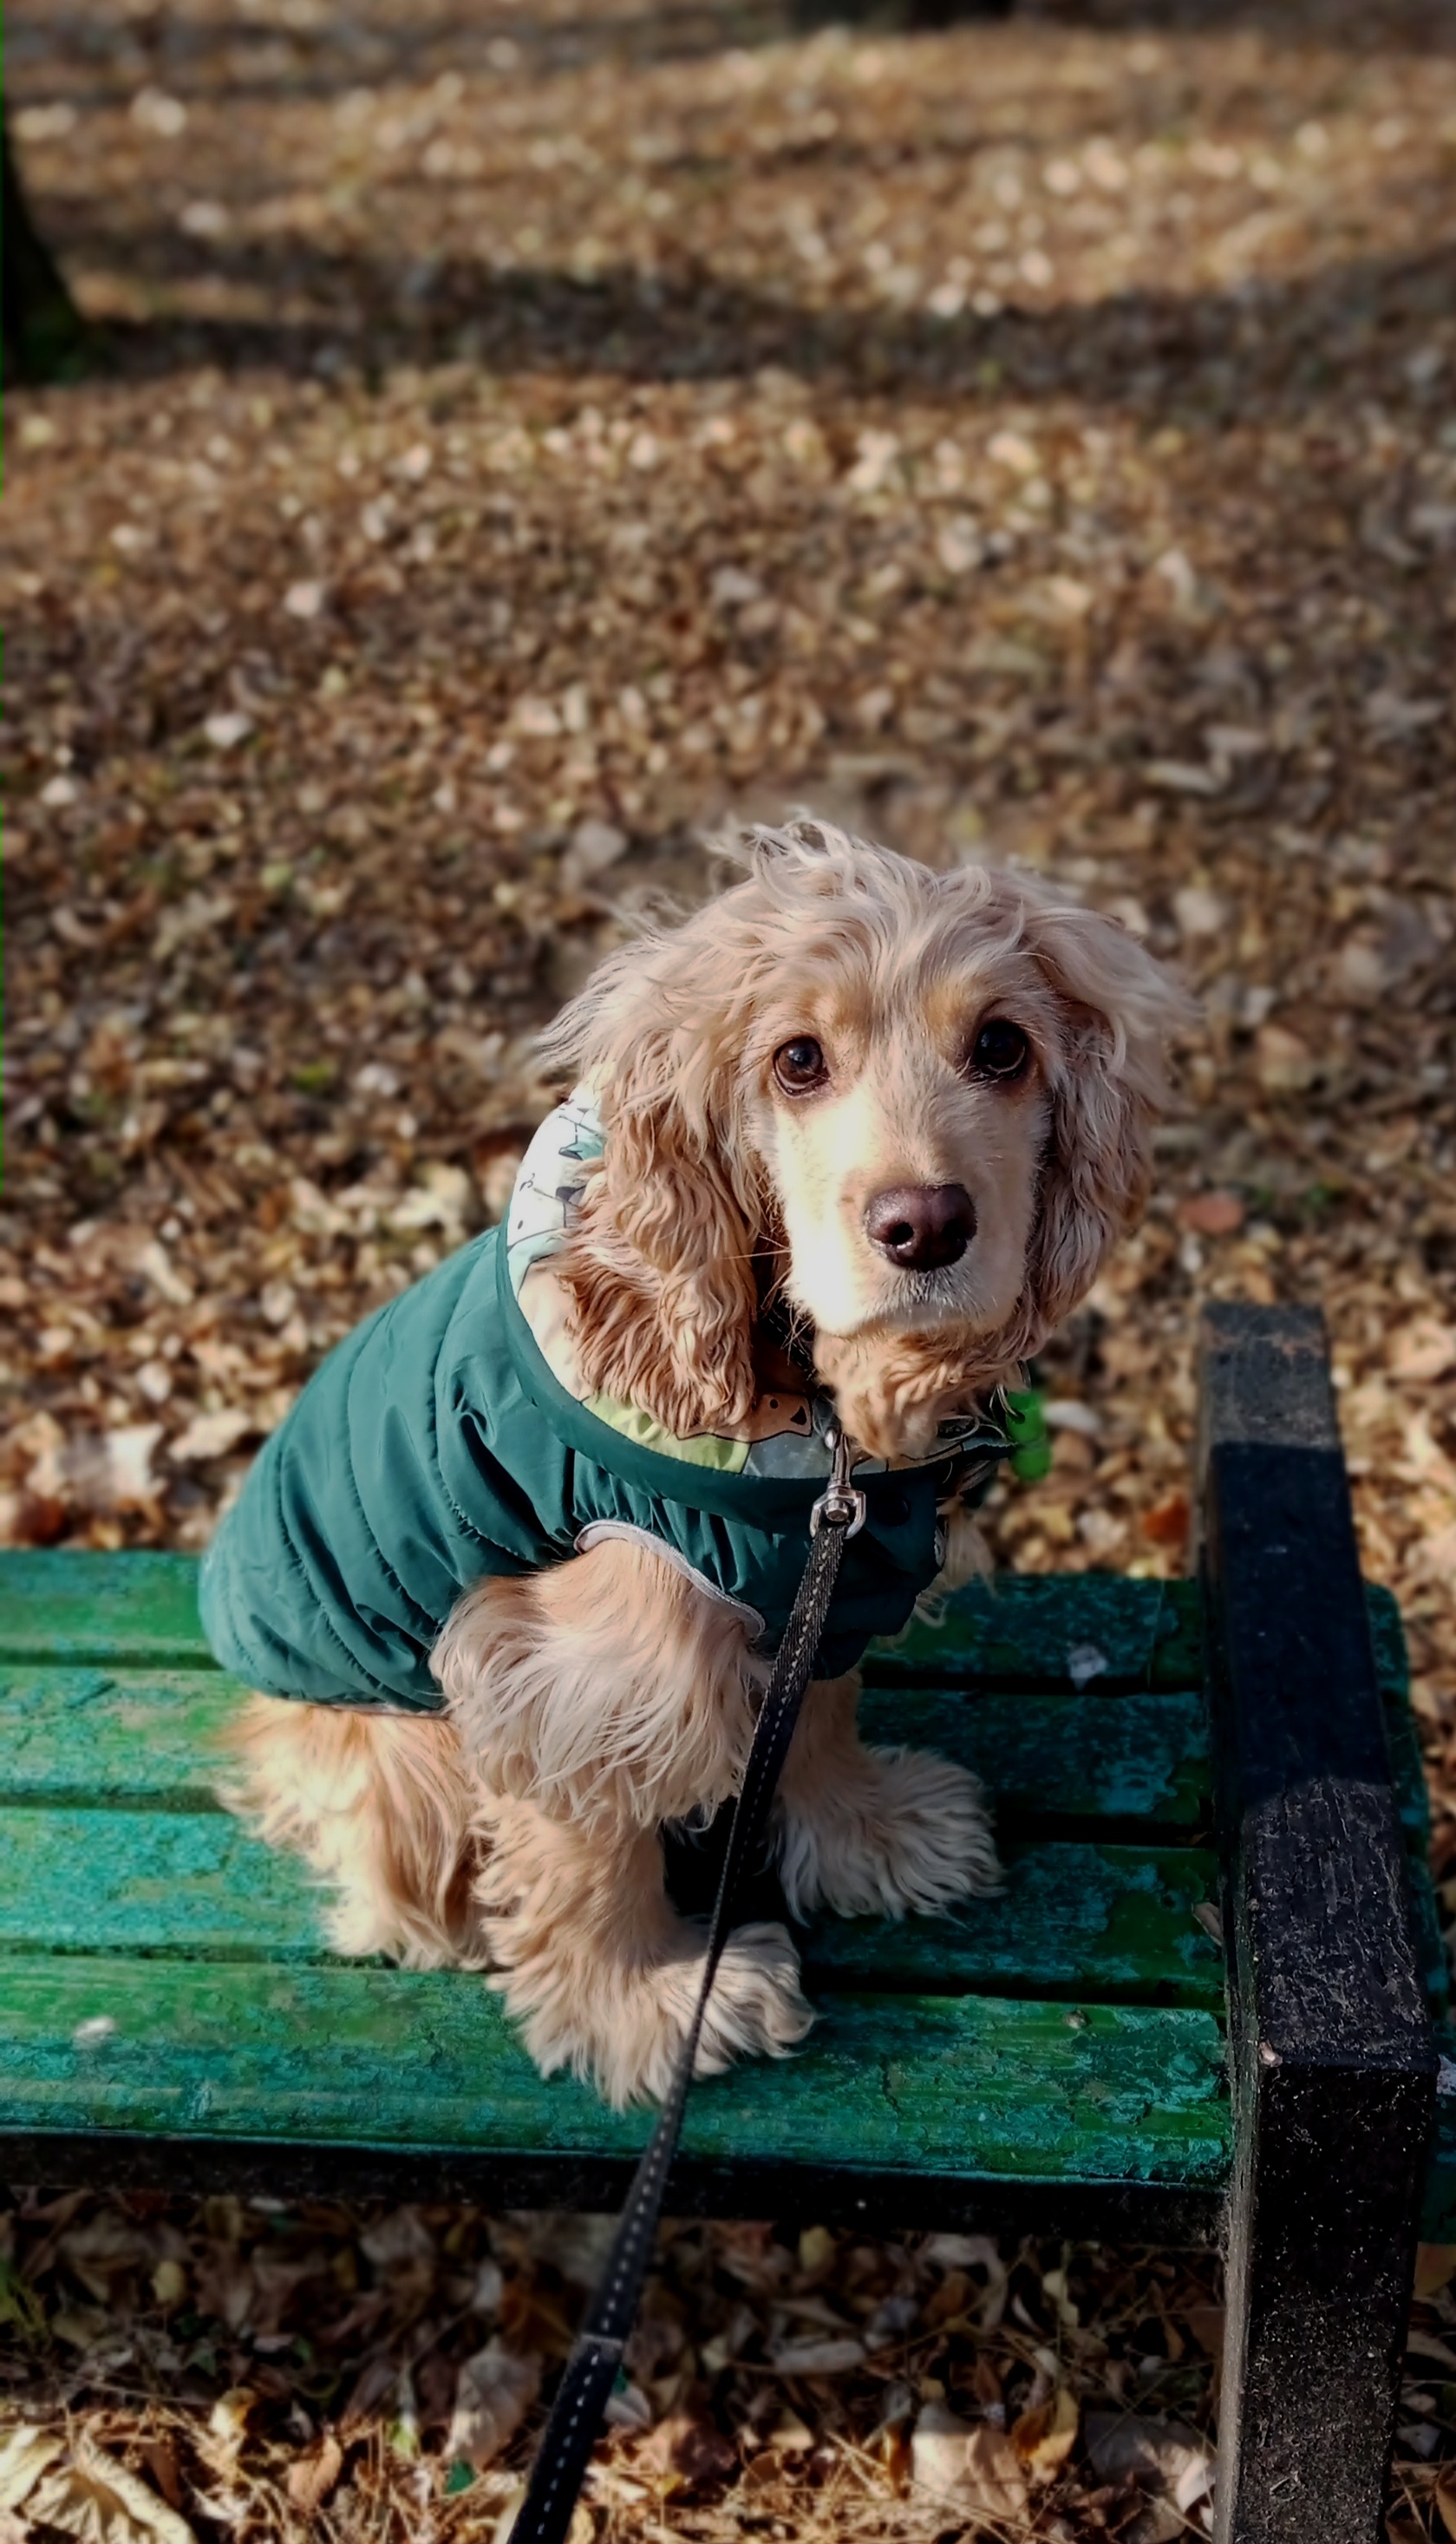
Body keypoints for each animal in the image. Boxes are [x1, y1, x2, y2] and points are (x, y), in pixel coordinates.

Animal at [213, 819, 1196, 2106]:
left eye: (1001, 1045)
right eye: (795, 1061)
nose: (923, 1225)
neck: (814, 1416)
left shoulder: (823, 1570)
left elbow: (813, 1715)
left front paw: (866, 1836)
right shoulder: (578, 1664)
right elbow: (586, 1843)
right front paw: (642, 2001)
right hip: (397, 1738)